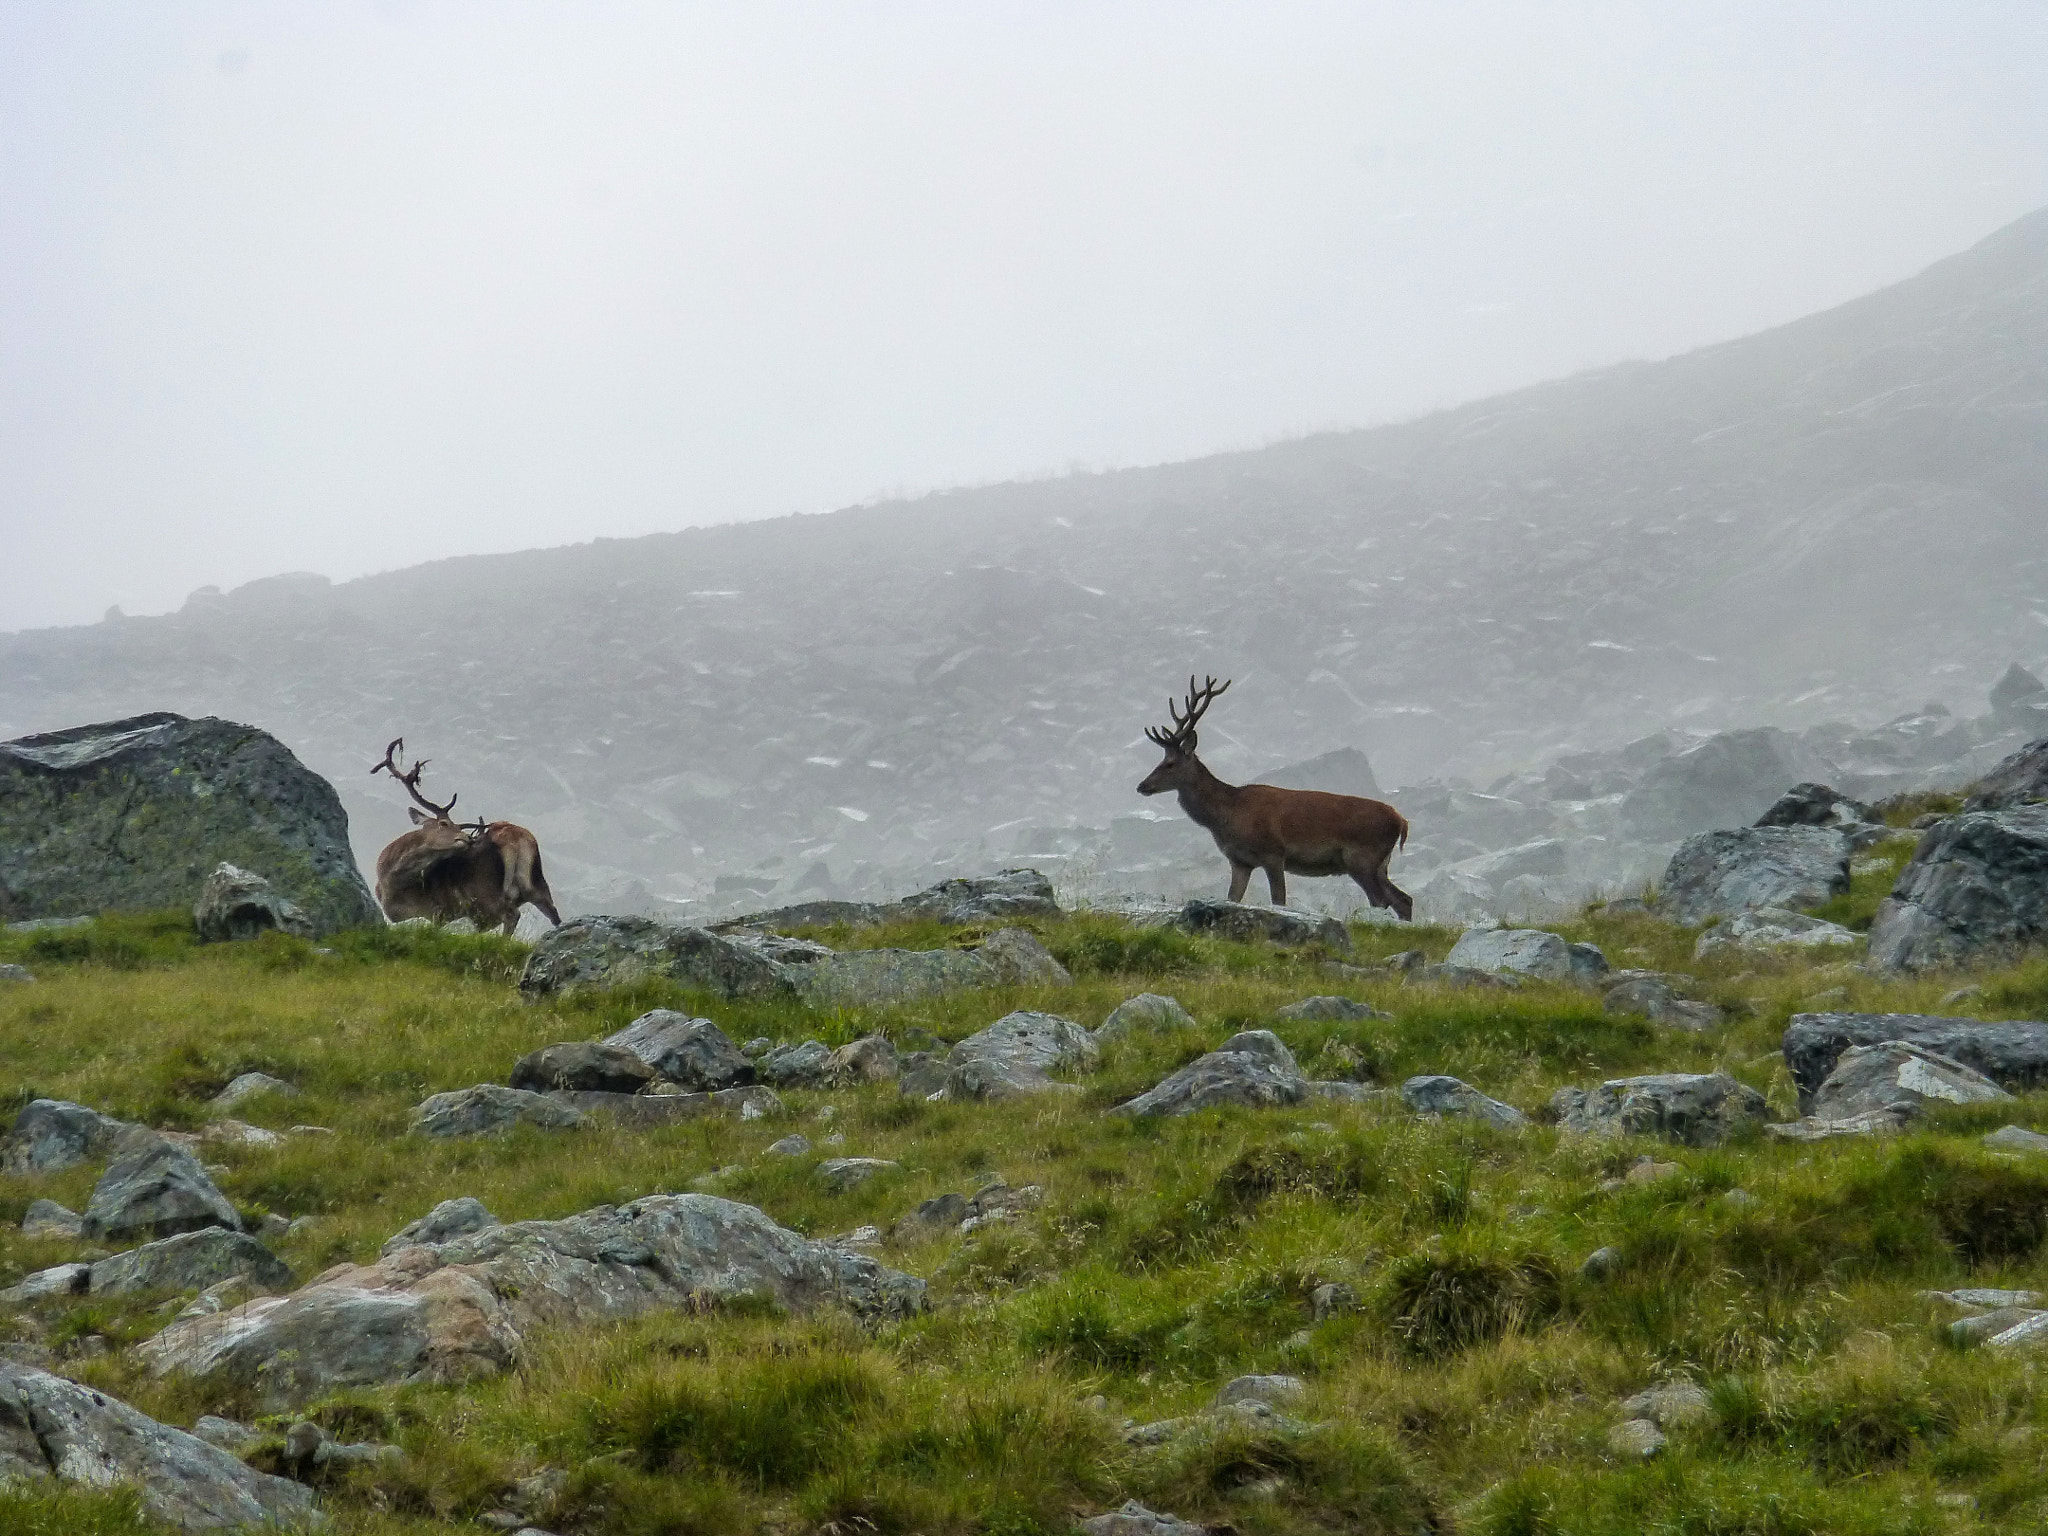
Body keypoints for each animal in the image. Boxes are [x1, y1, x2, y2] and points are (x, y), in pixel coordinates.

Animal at [368, 741, 561, 933]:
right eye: (444, 824)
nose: (468, 838)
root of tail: (514, 836)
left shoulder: (437, 912)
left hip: (485, 890)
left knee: (512, 915)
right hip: (536, 883)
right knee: (553, 913)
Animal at [1138, 675, 1409, 921]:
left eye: (1170, 763)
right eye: (1161, 760)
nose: (1142, 786)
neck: (1228, 814)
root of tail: (1401, 821)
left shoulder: (1274, 852)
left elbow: (1278, 900)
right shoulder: (1240, 861)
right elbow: (1233, 898)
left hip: (1362, 857)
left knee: (1381, 900)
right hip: (1379, 863)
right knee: (1403, 900)